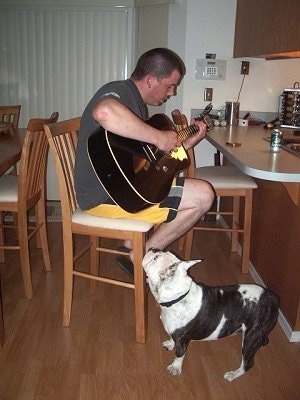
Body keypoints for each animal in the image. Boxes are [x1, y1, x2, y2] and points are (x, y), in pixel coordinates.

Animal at [143, 247, 278, 382]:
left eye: (155, 258)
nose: (153, 248)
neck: (178, 297)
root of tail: (272, 297)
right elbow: (172, 337)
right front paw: (170, 343)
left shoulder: (182, 340)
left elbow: (179, 354)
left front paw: (175, 367)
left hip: (250, 338)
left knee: (247, 364)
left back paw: (233, 374)